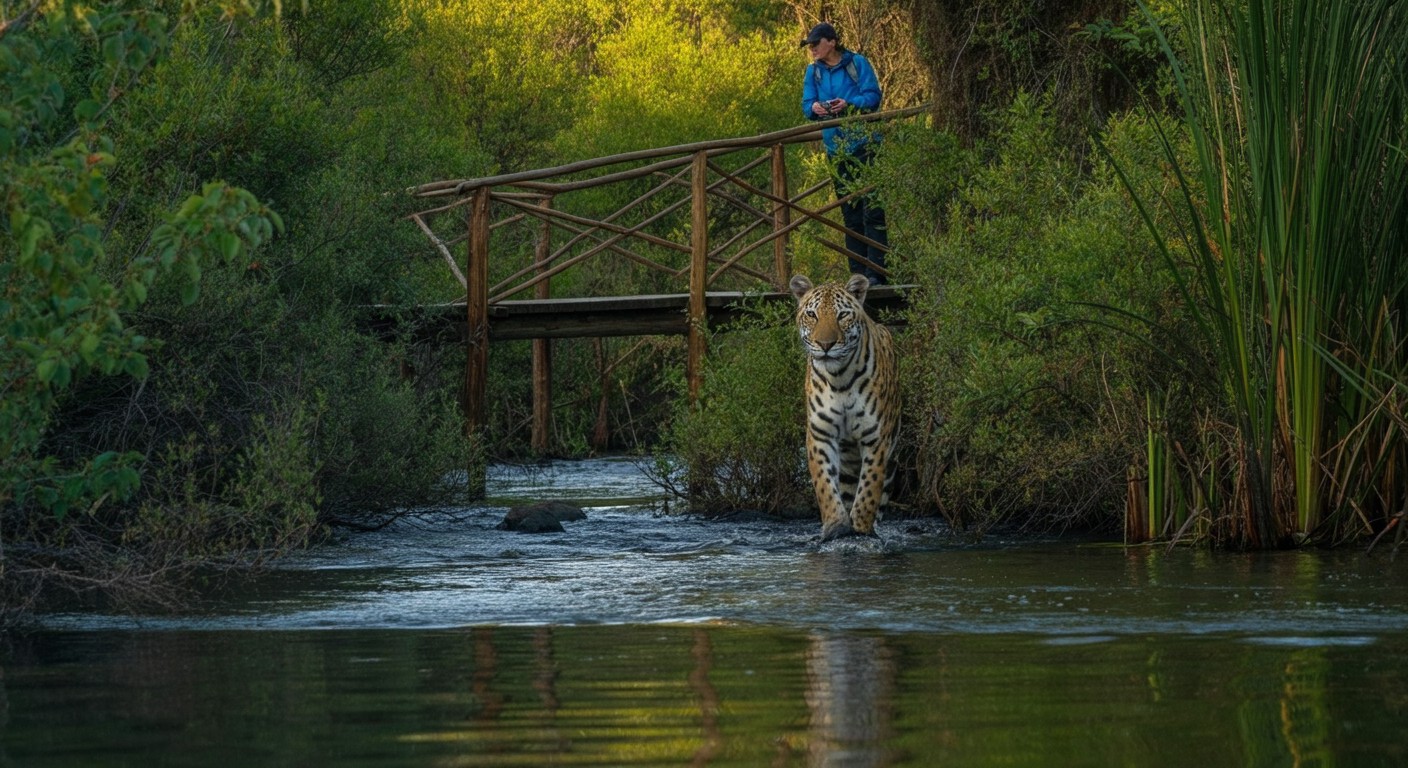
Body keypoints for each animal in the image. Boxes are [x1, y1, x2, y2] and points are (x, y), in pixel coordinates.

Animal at [790, 273, 900, 541]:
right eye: (812, 314)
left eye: (842, 315)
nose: (825, 344)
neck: (838, 379)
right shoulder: (820, 434)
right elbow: (825, 485)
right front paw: (835, 526)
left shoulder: (876, 438)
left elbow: (869, 488)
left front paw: (860, 528)